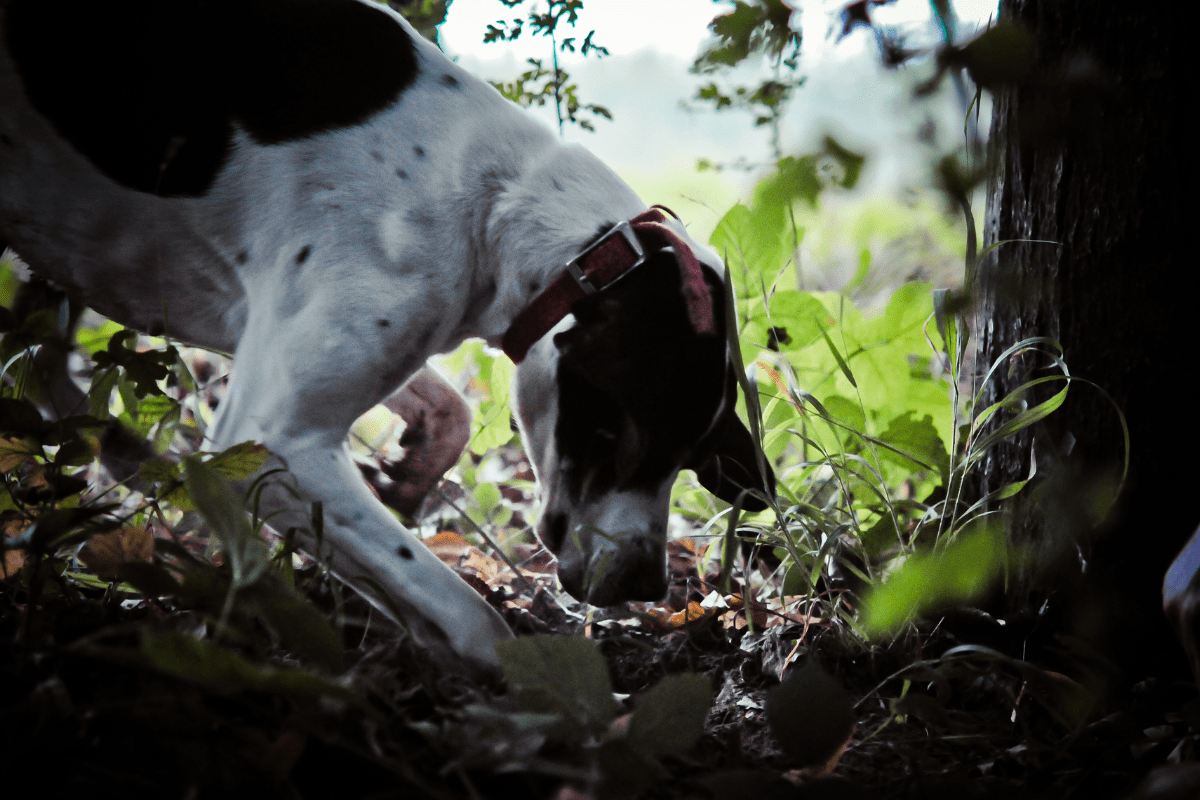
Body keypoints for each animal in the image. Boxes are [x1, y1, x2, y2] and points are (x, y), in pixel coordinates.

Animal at [0, 0, 772, 676]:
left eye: (692, 455)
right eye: (622, 437)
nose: (647, 585)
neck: (492, 197)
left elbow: (449, 415)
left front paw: (407, 475)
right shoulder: (275, 436)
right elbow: (472, 620)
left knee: (43, 364)